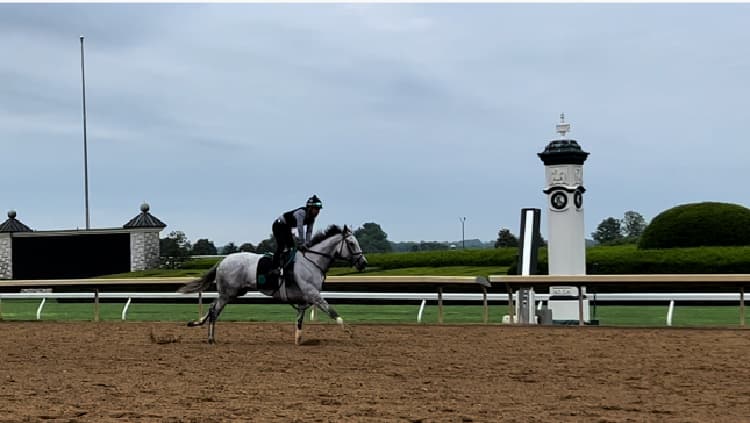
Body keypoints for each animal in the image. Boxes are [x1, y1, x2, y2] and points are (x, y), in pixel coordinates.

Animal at [179, 225, 368, 344]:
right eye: (352, 243)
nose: (363, 263)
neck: (312, 261)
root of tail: (222, 261)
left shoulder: (305, 298)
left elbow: (300, 319)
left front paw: (298, 340)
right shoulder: (313, 294)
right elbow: (333, 312)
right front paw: (349, 332)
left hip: (233, 292)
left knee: (212, 308)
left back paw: (199, 325)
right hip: (228, 293)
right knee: (214, 311)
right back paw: (211, 339)